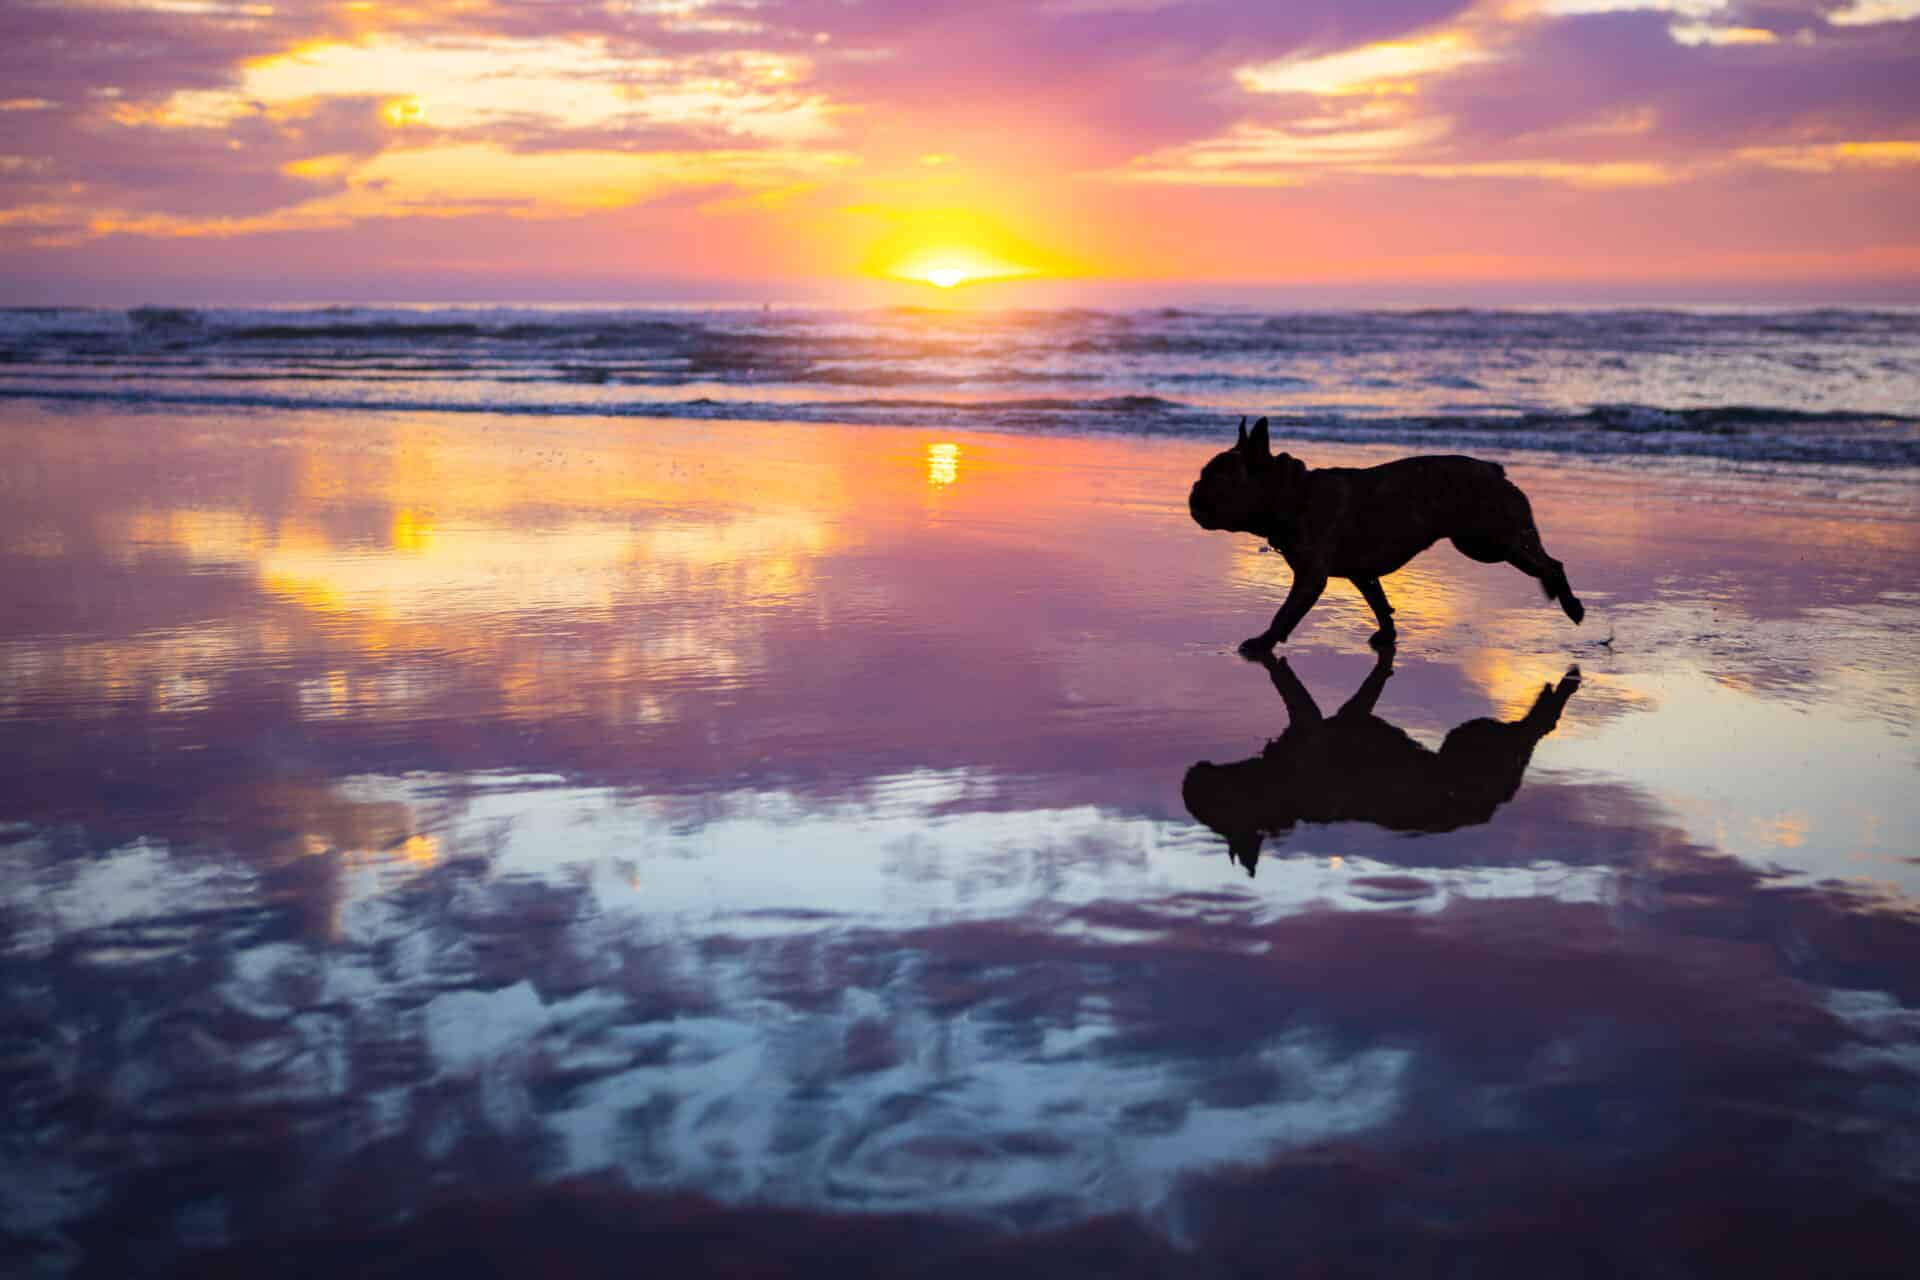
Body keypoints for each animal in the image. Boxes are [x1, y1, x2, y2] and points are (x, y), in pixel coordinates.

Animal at [1175, 656, 1582, 875]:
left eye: (1211, 806)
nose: (1189, 778)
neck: (1277, 792)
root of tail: (1491, 809)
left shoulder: (1309, 723)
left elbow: (1289, 689)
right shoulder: (1348, 715)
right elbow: (1366, 690)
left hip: (1477, 740)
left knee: (1534, 728)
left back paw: (1562, 688)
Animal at [1182, 420, 1589, 656]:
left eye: (1217, 480)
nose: (1194, 491)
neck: (1295, 495)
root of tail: (1495, 470)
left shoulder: (1311, 578)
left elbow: (1285, 613)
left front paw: (1262, 643)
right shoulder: (1363, 574)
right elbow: (1379, 604)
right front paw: (1388, 633)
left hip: (1487, 541)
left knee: (1550, 563)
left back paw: (1570, 604)